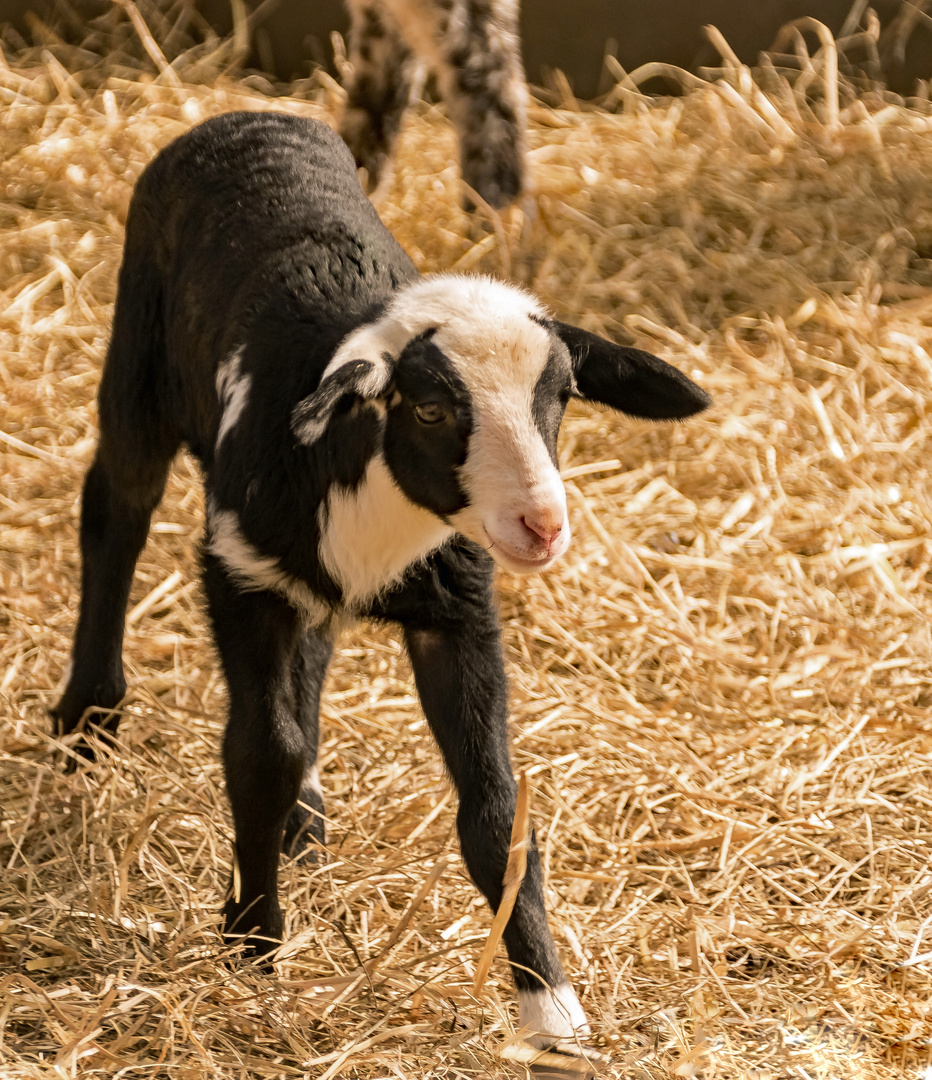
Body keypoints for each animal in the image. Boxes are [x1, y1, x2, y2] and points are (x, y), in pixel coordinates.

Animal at [54, 109, 712, 1045]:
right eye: (431, 410)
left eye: (560, 399)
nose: (542, 526)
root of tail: (253, 116)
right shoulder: (242, 575)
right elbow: (259, 752)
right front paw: (253, 939)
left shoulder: (458, 608)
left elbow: (495, 807)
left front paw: (549, 1006)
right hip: (139, 356)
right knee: (116, 509)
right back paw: (89, 715)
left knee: (313, 647)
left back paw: (305, 817)